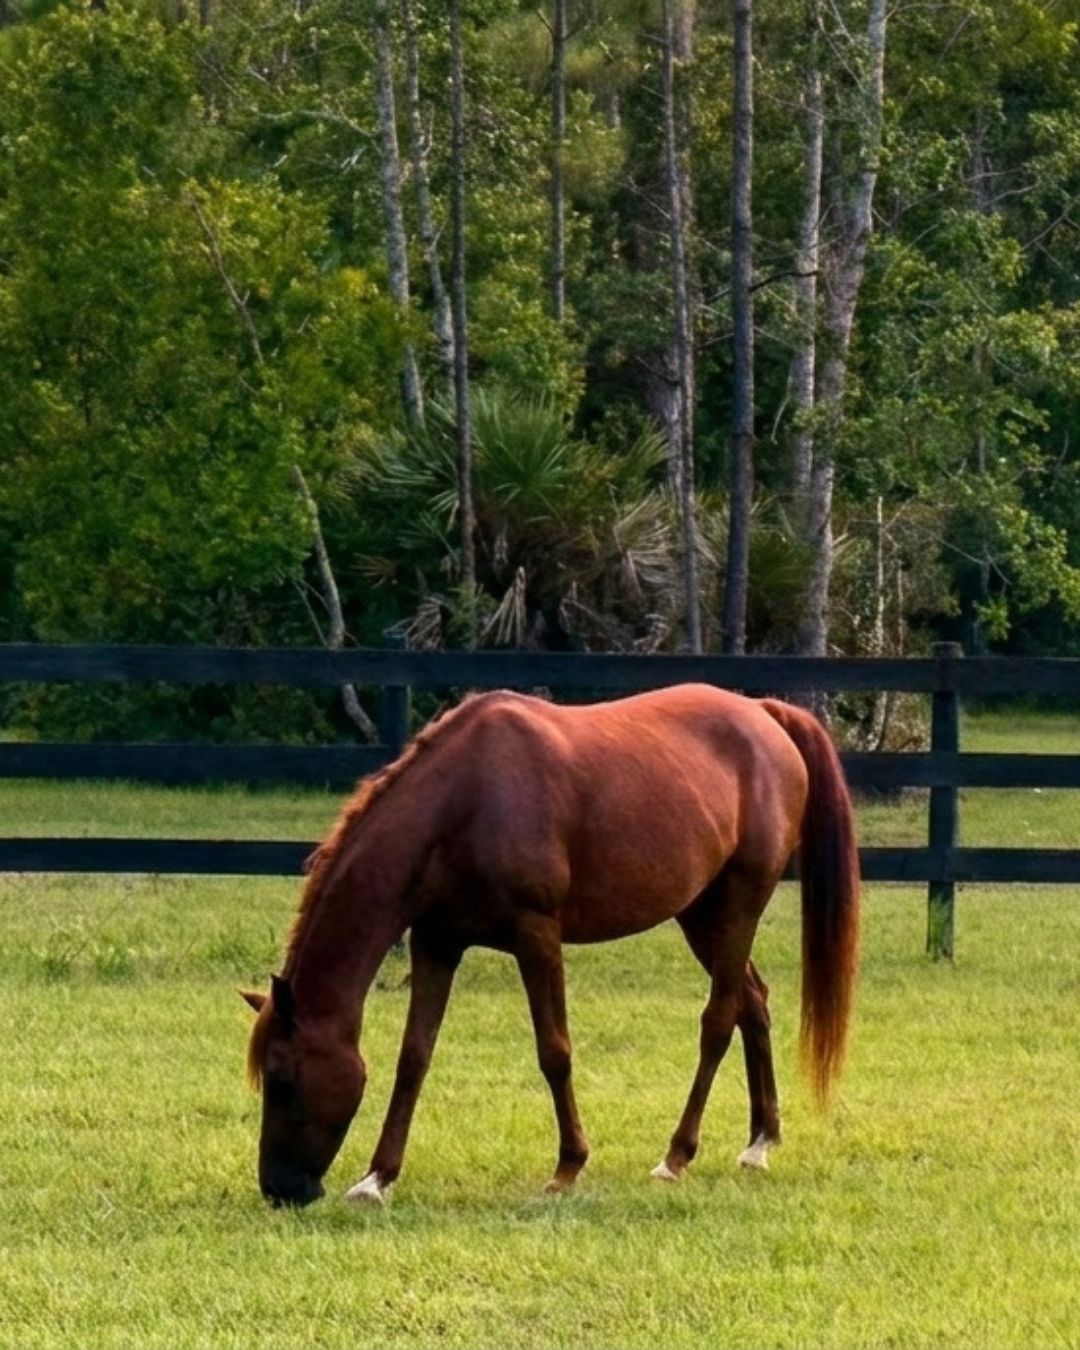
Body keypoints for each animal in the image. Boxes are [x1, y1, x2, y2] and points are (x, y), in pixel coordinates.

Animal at [241, 683, 860, 1208]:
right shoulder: (436, 942)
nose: (279, 1189)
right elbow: (414, 1057)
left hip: (738, 904)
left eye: (284, 1077)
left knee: (719, 1020)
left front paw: (568, 1166)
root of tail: (764, 713)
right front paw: (377, 1177)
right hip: (701, 914)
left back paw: (676, 1156)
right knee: (753, 1003)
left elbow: (554, 1051)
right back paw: (760, 1141)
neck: (464, 802)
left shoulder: (536, 934)